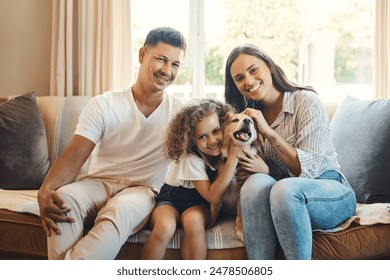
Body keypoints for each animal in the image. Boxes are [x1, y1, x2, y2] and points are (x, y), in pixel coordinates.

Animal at [213, 112, 266, 242]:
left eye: (251, 121)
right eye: (235, 120)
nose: (247, 121)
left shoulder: (240, 195)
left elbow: (241, 214)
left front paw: (241, 230)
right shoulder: (218, 200)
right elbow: (213, 215)